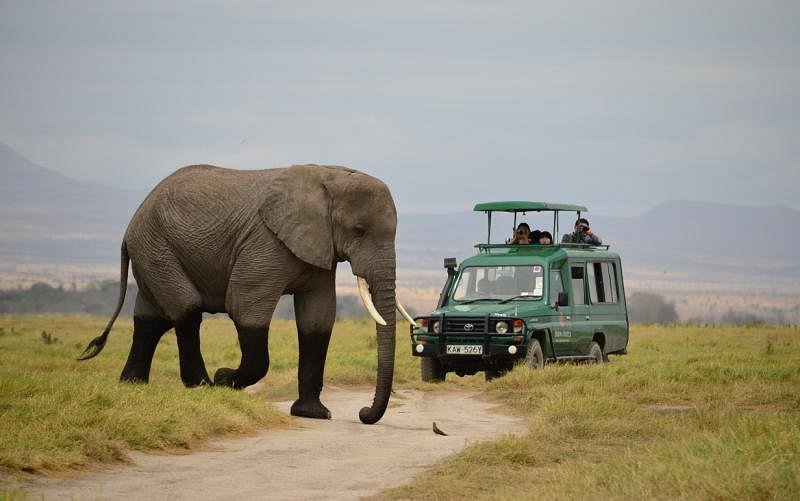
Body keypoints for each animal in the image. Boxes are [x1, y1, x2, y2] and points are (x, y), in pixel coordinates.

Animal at [78, 164, 414, 424]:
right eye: (359, 230)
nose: (362, 412)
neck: (330, 175)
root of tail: (130, 226)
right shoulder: (265, 244)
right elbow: (245, 307)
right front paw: (225, 379)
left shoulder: (319, 246)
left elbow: (318, 318)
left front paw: (313, 414)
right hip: (156, 248)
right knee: (186, 309)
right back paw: (201, 385)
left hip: (153, 253)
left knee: (151, 319)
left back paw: (132, 385)